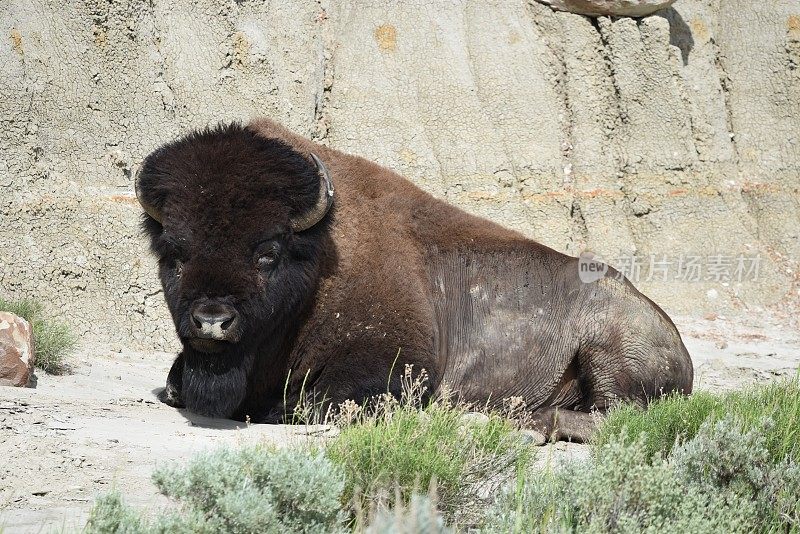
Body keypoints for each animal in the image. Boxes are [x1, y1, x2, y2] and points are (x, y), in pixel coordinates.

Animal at [134, 119, 692, 442]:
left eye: (267, 252)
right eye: (174, 253)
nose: (212, 320)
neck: (318, 259)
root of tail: (677, 341)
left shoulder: (394, 368)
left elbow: (308, 405)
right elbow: (175, 384)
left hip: (608, 350)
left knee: (617, 417)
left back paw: (523, 423)